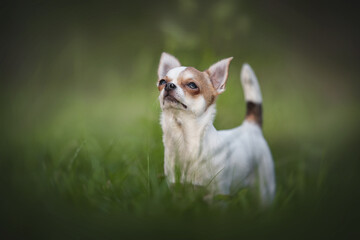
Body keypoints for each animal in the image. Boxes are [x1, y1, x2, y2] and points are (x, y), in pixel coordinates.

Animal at [157, 52, 276, 204]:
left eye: (192, 85)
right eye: (162, 82)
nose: (169, 85)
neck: (184, 140)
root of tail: (250, 126)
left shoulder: (218, 196)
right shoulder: (176, 189)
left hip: (265, 189)